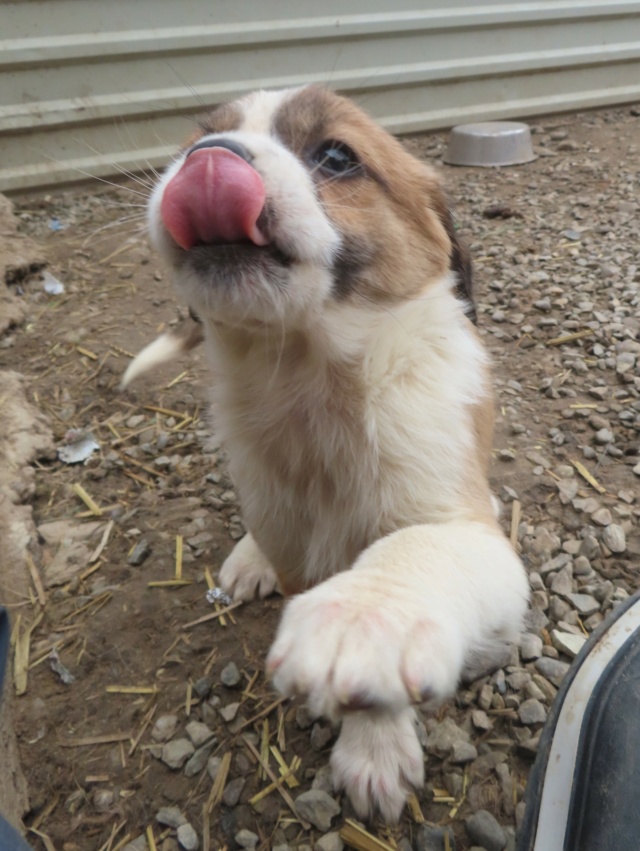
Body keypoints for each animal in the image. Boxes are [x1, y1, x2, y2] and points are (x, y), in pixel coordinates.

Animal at [126, 85, 528, 820]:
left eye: (337, 157)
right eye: (193, 141)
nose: (207, 162)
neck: (314, 386)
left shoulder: (477, 540)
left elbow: (412, 547)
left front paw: (366, 615)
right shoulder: (290, 544)